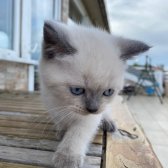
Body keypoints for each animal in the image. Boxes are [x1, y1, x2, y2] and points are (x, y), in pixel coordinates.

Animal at [39, 20, 150, 167]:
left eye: (108, 92)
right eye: (77, 90)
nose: (93, 109)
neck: (63, 103)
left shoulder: (88, 118)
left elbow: (77, 133)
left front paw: (67, 158)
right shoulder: (51, 103)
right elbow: (60, 120)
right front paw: (62, 131)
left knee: (105, 112)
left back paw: (108, 123)